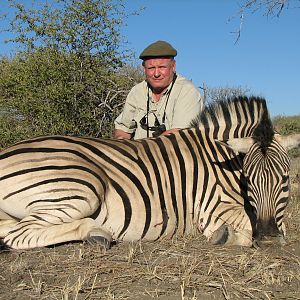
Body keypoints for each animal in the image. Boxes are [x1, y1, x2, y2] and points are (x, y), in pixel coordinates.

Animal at [0, 96, 298, 248]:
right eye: (249, 180)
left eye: (285, 179)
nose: (269, 238)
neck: (221, 160)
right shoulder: (212, 206)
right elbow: (245, 231)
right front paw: (223, 236)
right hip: (82, 187)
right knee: (18, 235)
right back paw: (96, 233)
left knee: (9, 230)